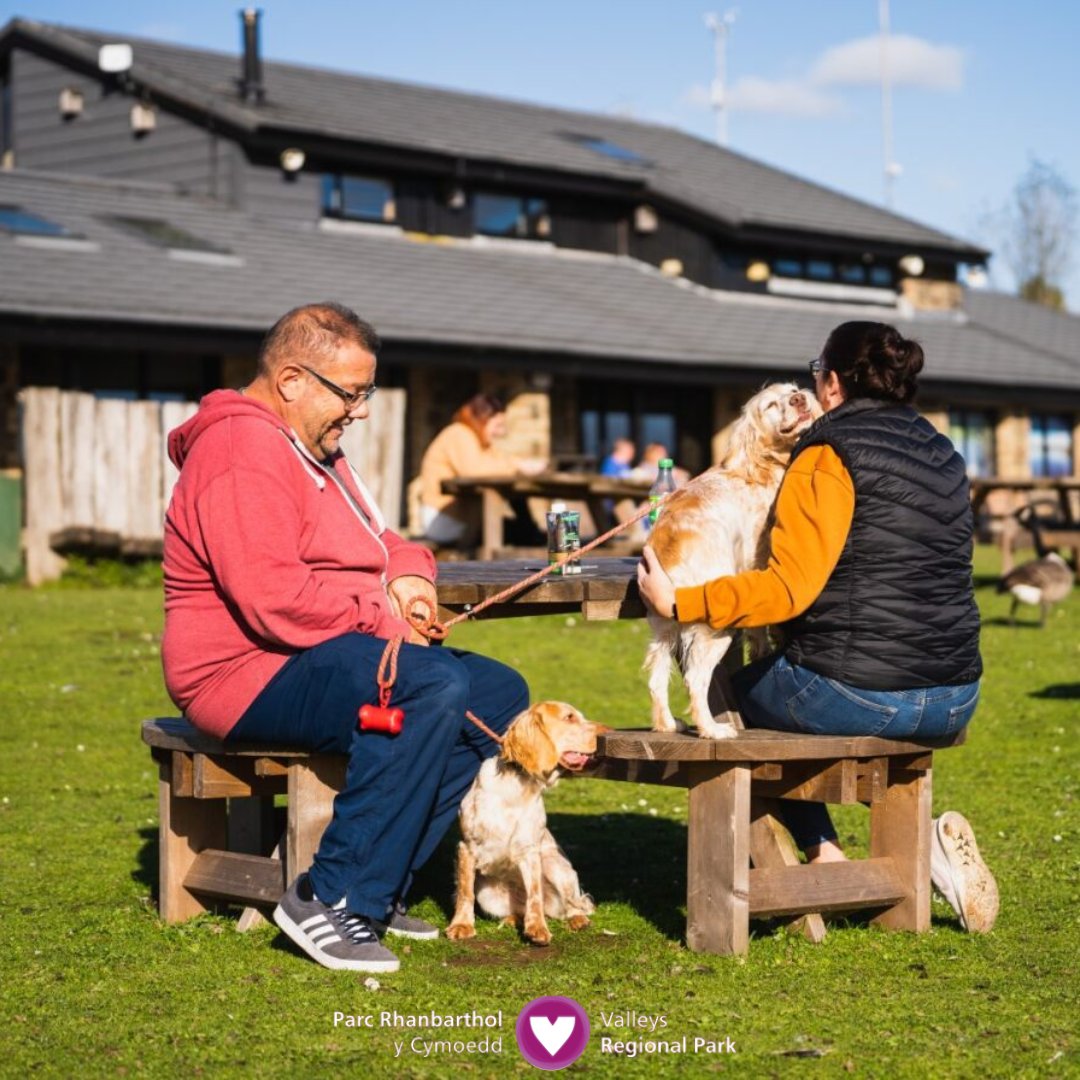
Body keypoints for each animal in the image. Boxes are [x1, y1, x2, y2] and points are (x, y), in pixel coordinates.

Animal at [442, 699, 604, 946]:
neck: (516, 785)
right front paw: (461, 925)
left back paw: (577, 920)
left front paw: (537, 929)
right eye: (569, 717)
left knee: (571, 906)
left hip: (558, 868)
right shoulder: (467, 847)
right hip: (487, 895)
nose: (608, 733)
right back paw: (513, 919)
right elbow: (464, 892)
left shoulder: (530, 850)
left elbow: (535, 896)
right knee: (519, 910)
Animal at [639, 382, 816, 743]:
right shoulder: (761, 558)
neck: (762, 464)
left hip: (663, 631)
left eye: (793, 390)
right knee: (695, 679)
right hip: (714, 630)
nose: (799, 398)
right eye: (771, 405)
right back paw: (712, 730)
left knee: (656, 678)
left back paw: (668, 724)